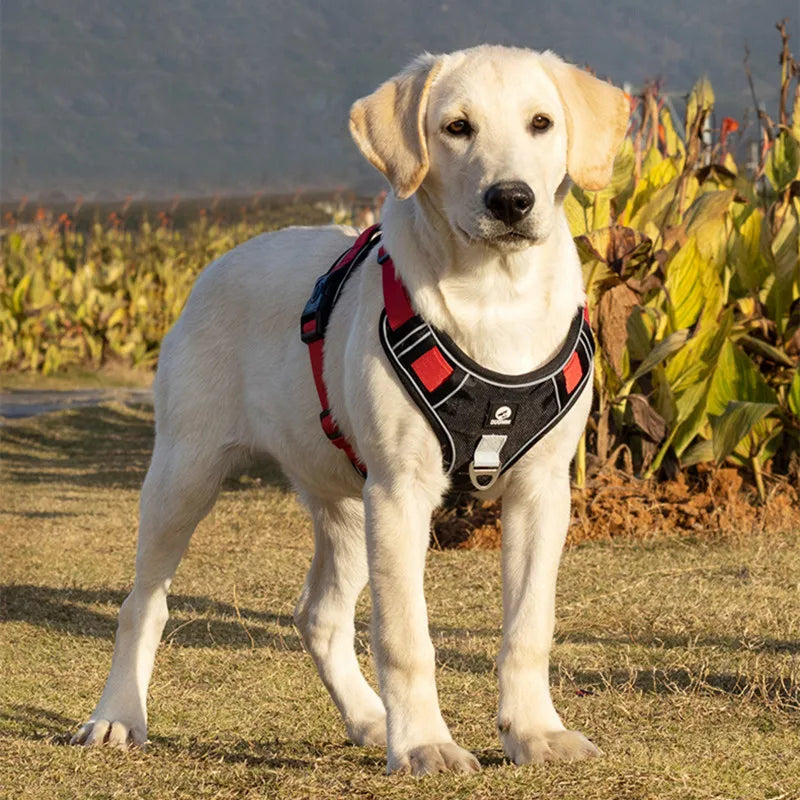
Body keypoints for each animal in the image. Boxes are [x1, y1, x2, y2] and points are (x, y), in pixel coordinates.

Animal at [70, 45, 632, 776]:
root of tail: (224, 258)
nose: (511, 199)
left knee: (319, 614)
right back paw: (117, 715)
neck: (495, 297)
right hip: (186, 473)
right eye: (456, 128)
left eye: (542, 122)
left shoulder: (540, 490)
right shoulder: (401, 492)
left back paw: (369, 716)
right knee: (143, 603)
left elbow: (529, 626)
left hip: (345, 501)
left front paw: (534, 732)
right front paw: (423, 743)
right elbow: (405, 636)